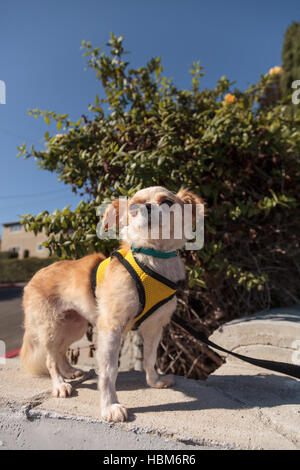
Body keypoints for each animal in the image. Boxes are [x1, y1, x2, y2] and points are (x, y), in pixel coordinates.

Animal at [20, 185, 202, 422]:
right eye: (133, 206)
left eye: (167, 202)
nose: (147, 207)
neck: (152, 259)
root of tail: (33, 277)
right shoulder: (111, 328)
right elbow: (108, 371)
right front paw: (110, 406)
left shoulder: (154, 327)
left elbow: (150, 358)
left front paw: (154, 381)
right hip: (51, 327)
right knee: (50, 358)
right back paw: (60, 384)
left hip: (74, 325)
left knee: (60, 351)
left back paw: (69, 372)